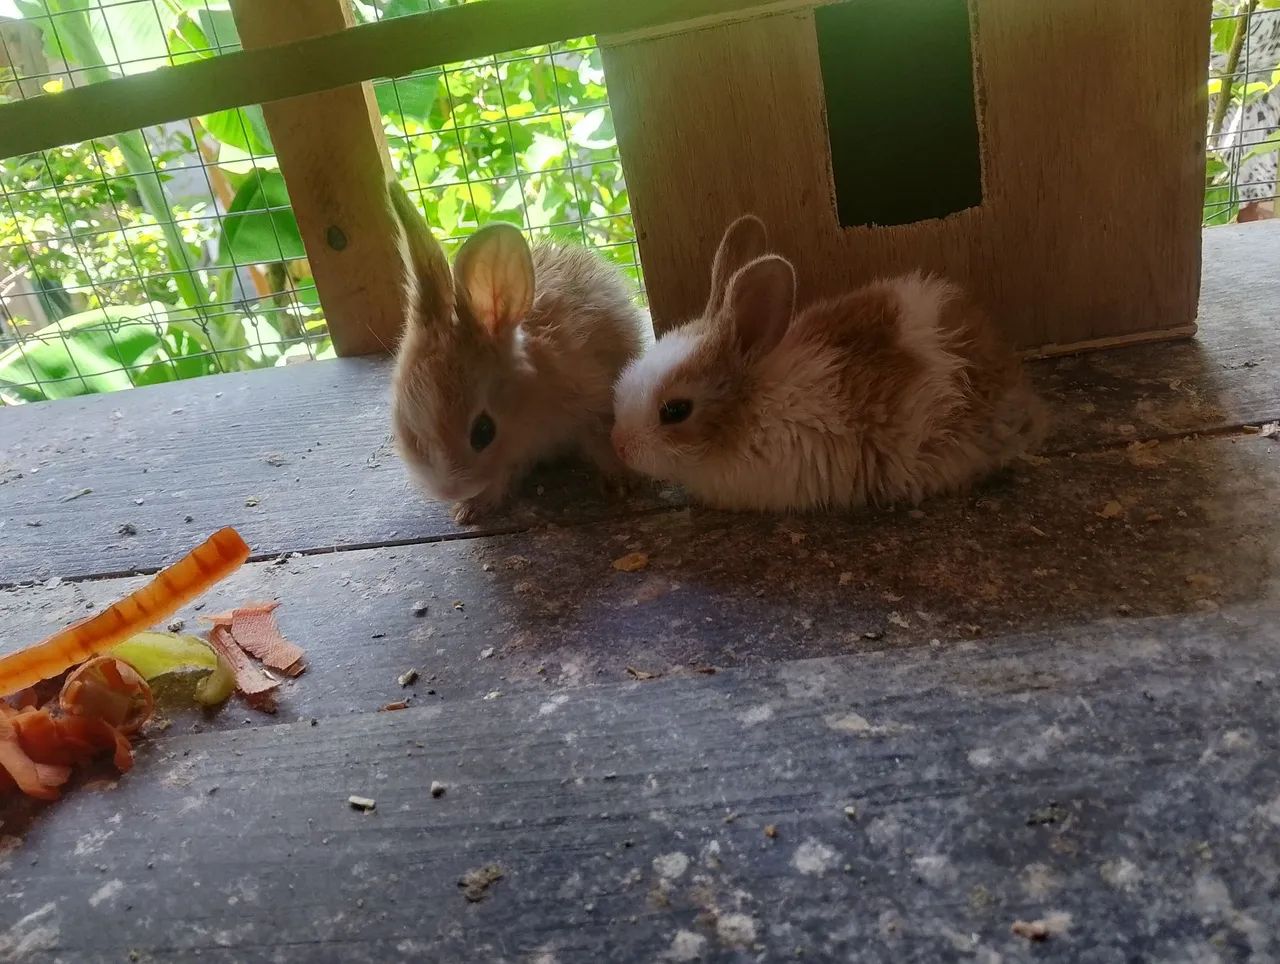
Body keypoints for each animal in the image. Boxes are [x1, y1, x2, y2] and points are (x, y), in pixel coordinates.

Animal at [386, 181, 646, 524]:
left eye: (483, 432)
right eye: (408, 430)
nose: (450, 491)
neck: (528, 401)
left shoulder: (593, 407)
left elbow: (602, 443)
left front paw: (622, 482)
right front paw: (470, 508)